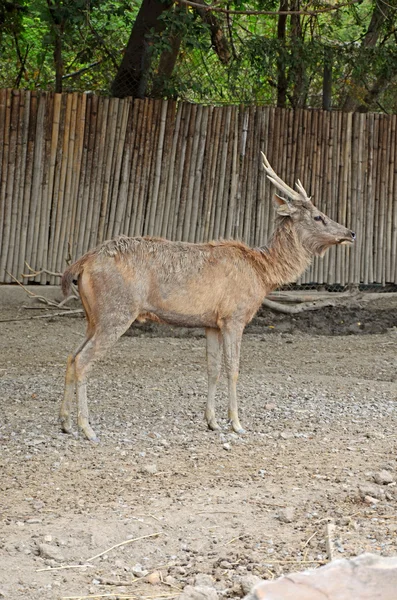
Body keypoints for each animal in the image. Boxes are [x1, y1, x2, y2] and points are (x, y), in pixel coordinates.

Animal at [59, 155, 356, 440]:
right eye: (318, 216)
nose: (350, 232)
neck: (263, 274)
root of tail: (82, 263)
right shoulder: (234, 317)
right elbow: (233, 368)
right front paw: (236, 423)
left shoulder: (211, 322)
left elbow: (212, 369)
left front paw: (212, 421)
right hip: (116, 311)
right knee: (83, 360)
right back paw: (87, 428)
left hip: (93, 317)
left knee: (71, 356)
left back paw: (65, 423)